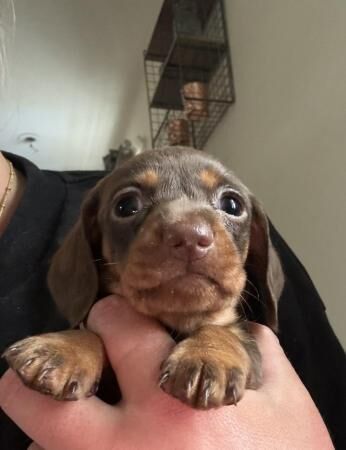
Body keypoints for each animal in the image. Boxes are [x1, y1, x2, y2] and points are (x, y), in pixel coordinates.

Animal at [3, 147, 284, 408]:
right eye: (126, 205)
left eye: (232, 205)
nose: (190, 236)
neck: (175, 321)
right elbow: (91, 333)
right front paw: (65, 348)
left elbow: (226, 331)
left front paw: (208, 355)